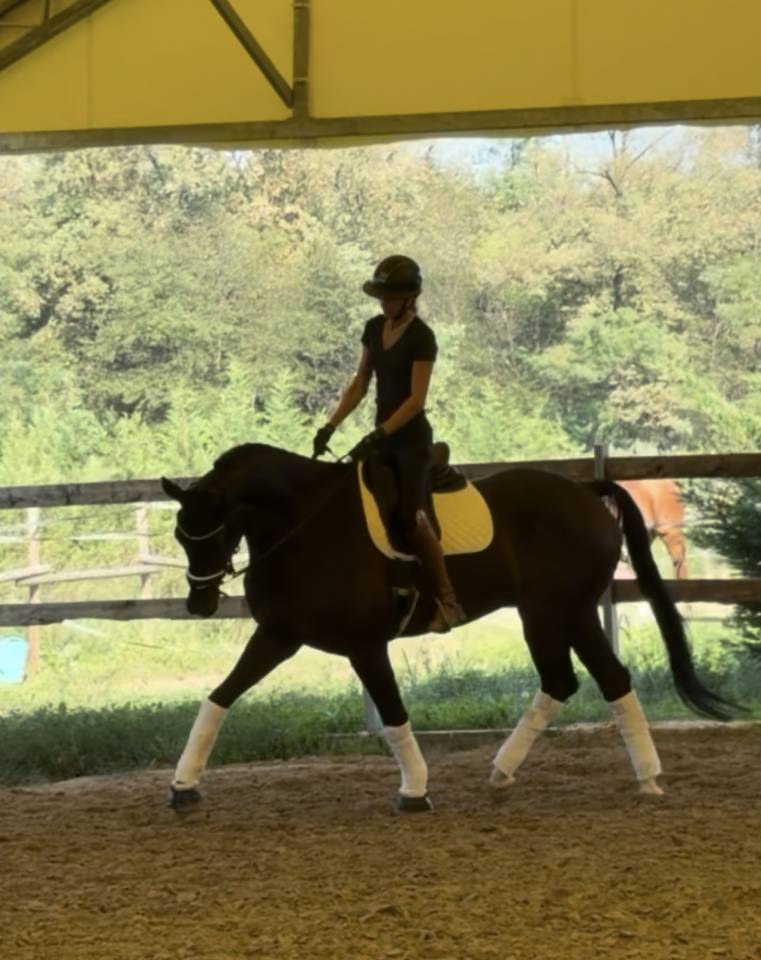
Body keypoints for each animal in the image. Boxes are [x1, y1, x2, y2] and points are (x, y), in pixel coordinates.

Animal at [160, 443, 734, 813]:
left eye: (212, 531)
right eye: (181, 535)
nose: (199, 603)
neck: (304, 524)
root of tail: (585, 492)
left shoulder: (364, 645)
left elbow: (393, 713)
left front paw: (414, 792)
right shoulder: (279, 636)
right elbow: (218, 698)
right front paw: (183, 786)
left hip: (558, 611)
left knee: (601, 679)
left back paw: (646, 779)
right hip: (554, 614)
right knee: (570, 681)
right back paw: (509, 773)